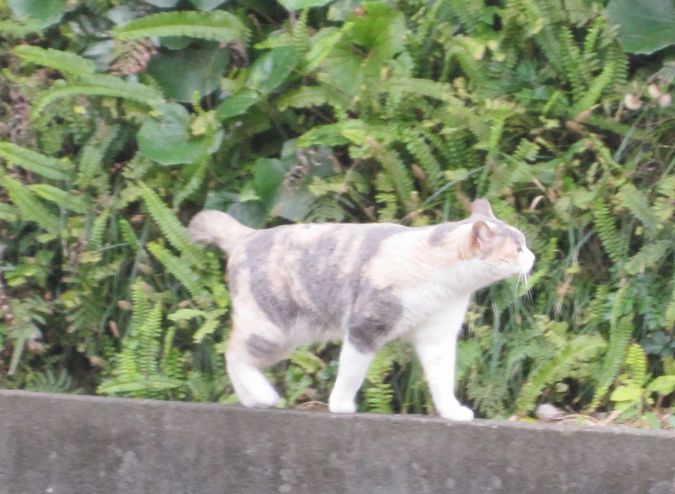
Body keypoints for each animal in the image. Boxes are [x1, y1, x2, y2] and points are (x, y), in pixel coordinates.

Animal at [189, 198, 532, 420]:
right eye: (517, 248)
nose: (533, 257)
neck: (442, 279)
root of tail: (247, 235)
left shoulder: (438, 338)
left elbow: (442, 379)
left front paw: (451, 411)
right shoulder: (365, 327)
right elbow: (351, 373)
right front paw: (340, 404)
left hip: (282, 338)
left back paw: (251, 400)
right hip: (271, 329)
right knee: (233, 353)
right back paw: (263, 395)